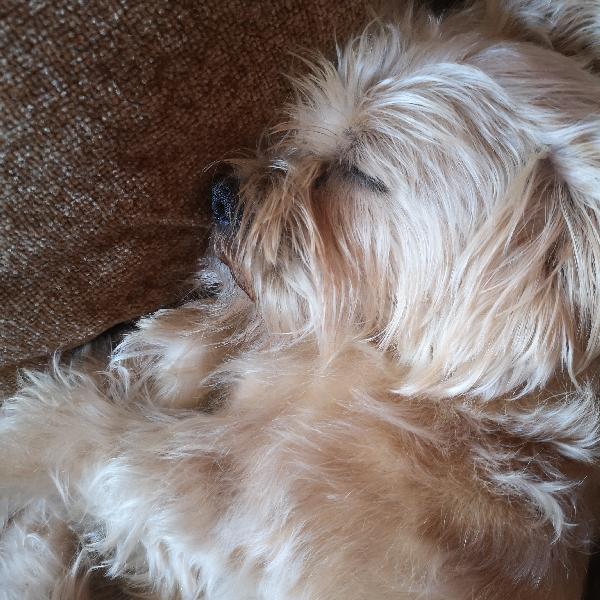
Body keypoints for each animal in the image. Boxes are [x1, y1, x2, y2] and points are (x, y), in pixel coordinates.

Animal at [2, 1, 600, 598]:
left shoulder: (217, 502)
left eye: (360, 174)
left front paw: (24, 435)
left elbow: (92, 435)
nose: (220, 195)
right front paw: (168, 349)